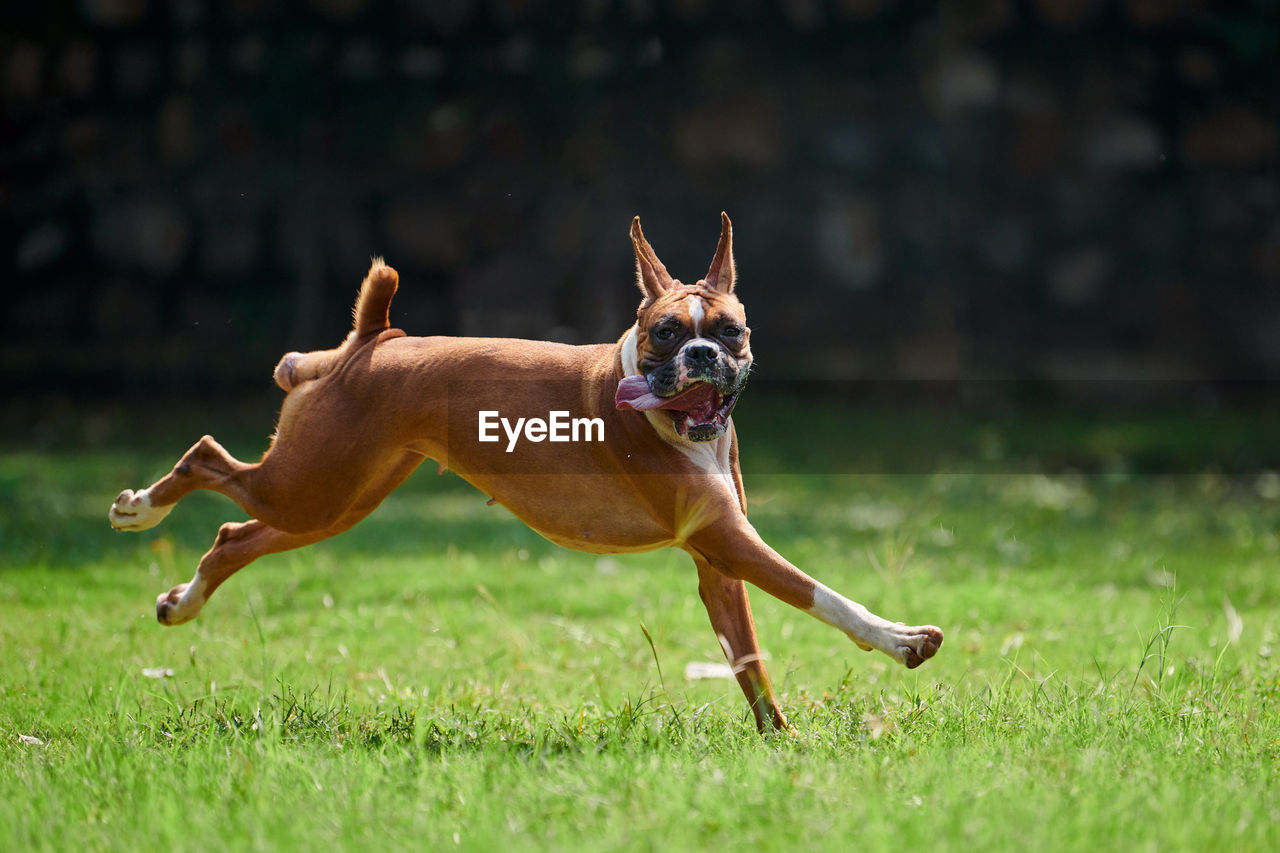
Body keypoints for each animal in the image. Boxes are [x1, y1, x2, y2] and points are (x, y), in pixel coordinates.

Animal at [112, 213, 942, 732]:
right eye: (664, 332)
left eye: (730, 331)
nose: (702, 354)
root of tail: (374, 340)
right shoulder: (731, 541)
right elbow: (823, 595)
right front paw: (902, 639)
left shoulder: (719, 565)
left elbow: (749, 661)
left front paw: (780, 739)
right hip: (311, 485)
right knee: (205, 457)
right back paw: (139, 508)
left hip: (330, 500)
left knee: (234, 533)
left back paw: (181, 601)